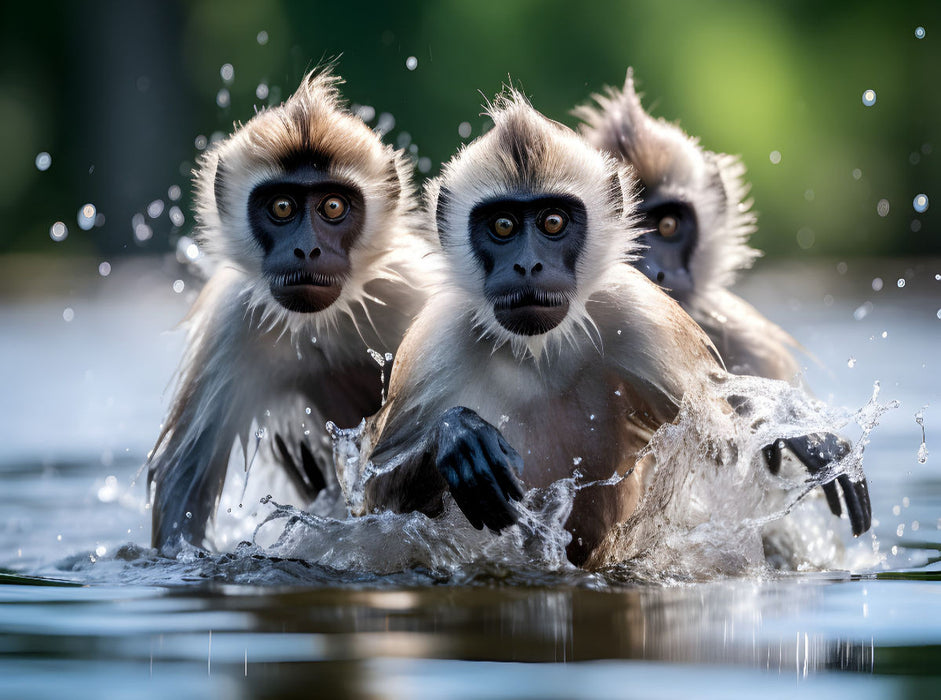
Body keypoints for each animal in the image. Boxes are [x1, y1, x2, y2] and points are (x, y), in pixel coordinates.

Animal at [147, 68, 428, 552]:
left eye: (332, 206)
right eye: (282, 207)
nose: (306, 249)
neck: (326, 325)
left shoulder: (408, 288)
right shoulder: (235, 320)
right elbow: (182, 485)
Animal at [351, 88, 851, 569]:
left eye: (553, 222)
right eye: (503, 226)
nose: (528, 265)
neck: (540, 352)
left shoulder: (637, 318)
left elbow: (727, 450)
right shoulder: (438, 341)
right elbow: (375, 510)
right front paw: (457, 437)